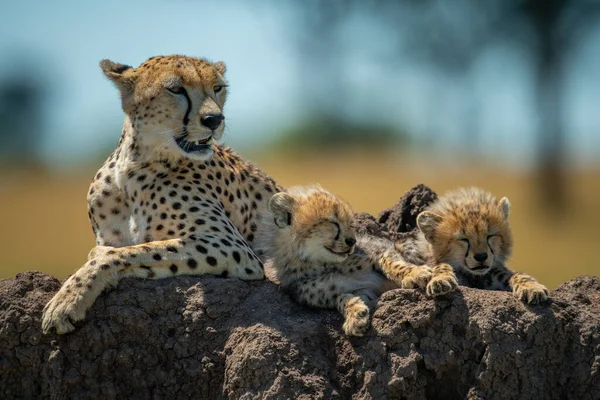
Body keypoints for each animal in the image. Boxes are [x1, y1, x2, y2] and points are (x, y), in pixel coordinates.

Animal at [43, 54, 282, 334]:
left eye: (217, 88)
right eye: (176, 89)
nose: (214, 119)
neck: (133, 168)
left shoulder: (233, 246)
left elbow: (129, 252)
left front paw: (66, 302)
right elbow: (127, 250)